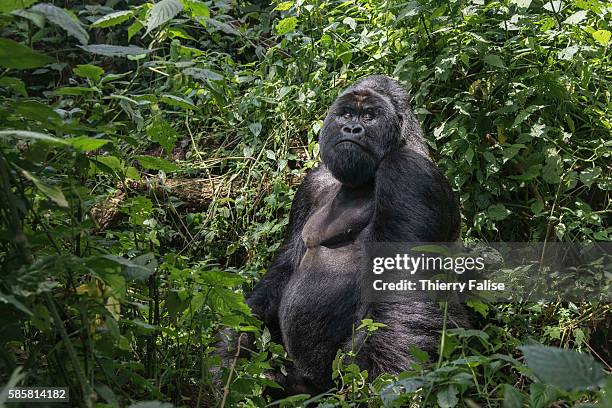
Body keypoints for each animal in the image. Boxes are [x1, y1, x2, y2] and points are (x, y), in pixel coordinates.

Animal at [220, 75, 464, 396]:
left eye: (370, 116)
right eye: (347, 114)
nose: (351, 129)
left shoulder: (408, 174)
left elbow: (398, 294)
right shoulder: (312, 184)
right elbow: (282, 271)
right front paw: (232, 353)